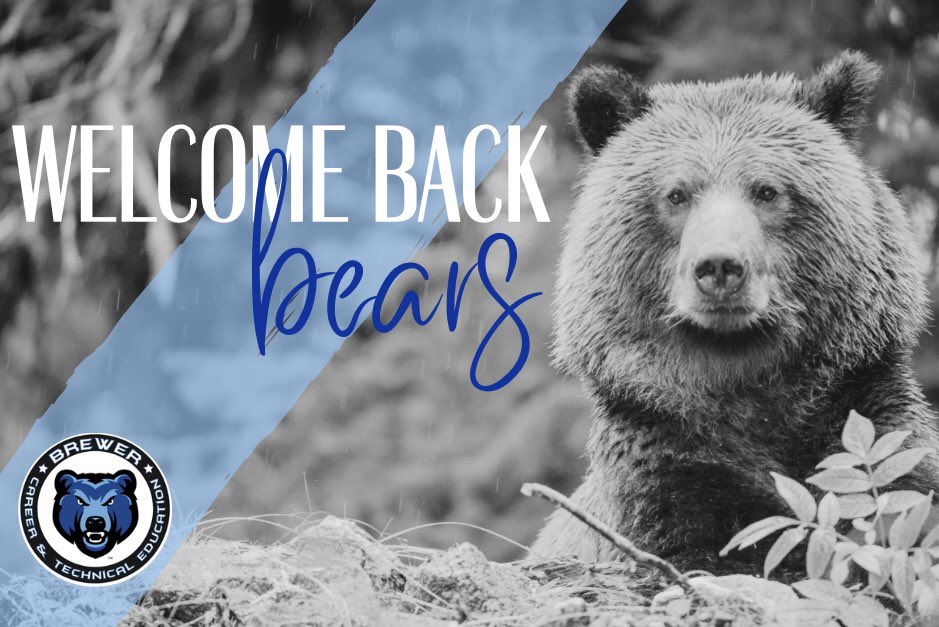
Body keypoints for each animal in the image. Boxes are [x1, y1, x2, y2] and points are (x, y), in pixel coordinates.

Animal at [531, 50, 939, 575]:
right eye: (676, 194)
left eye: (766, 190)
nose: (720, 266)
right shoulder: (663, 449)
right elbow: (710, 536)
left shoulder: (868, 410)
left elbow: (905, 487)